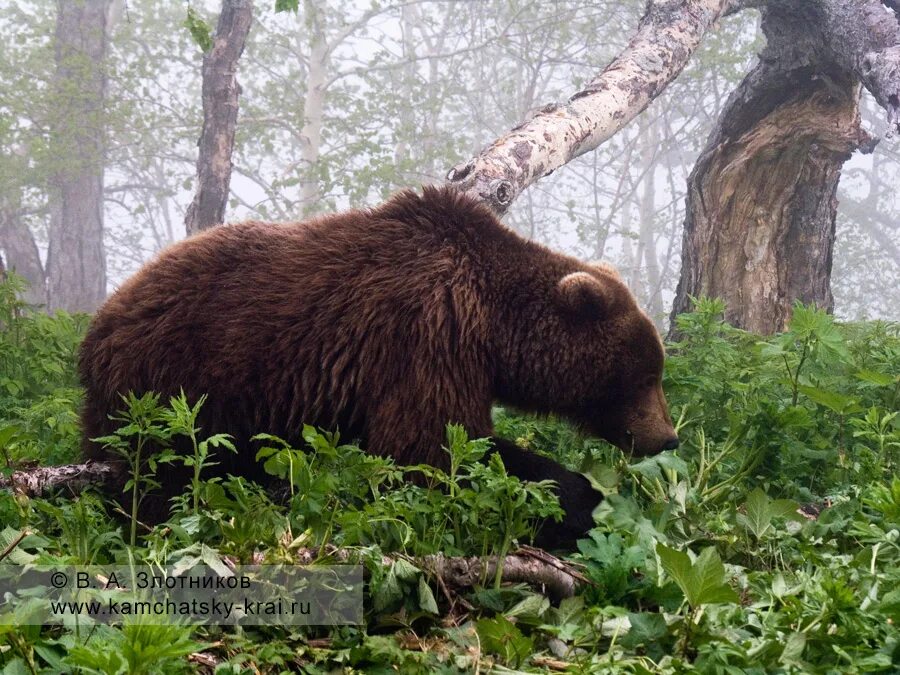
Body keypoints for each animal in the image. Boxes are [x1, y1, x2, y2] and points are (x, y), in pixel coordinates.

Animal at [81, 185, 680, 548]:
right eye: (646, 375)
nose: (668, 436)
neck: (492, 324)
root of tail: (104, 314)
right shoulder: (427, 336)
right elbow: (431, 448)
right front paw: (583, 499)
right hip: (173, 379)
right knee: (158, 471)